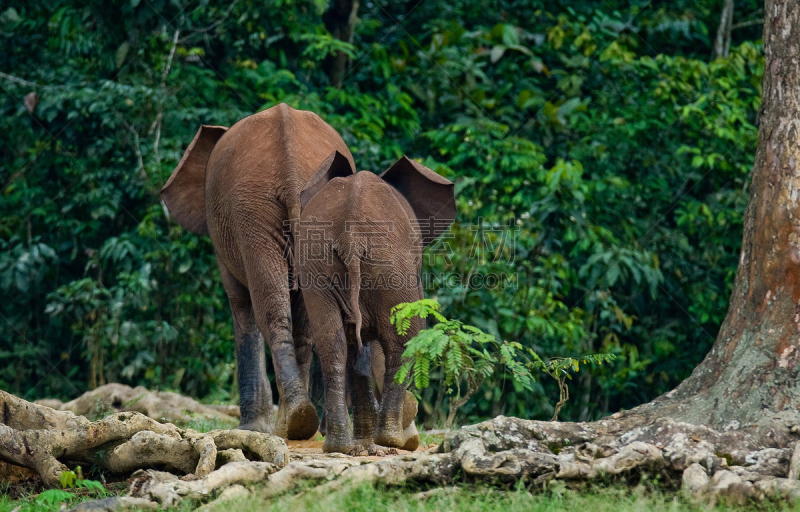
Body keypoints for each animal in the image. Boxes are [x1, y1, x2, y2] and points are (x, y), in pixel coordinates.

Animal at [159, 104, 354, 440]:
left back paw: (290, 422)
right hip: (283, 210)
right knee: (299, 318)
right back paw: (297, 421)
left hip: (251, 210)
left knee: (268, 311)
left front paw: (252, 427)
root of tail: (290, 166)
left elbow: (240, 305)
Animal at [296, 151, 456, 452]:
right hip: (390, 264)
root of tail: (350, 235)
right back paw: (392, 440)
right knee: (404, 340)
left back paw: (339, 447)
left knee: (333, 343)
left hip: (318, 264)